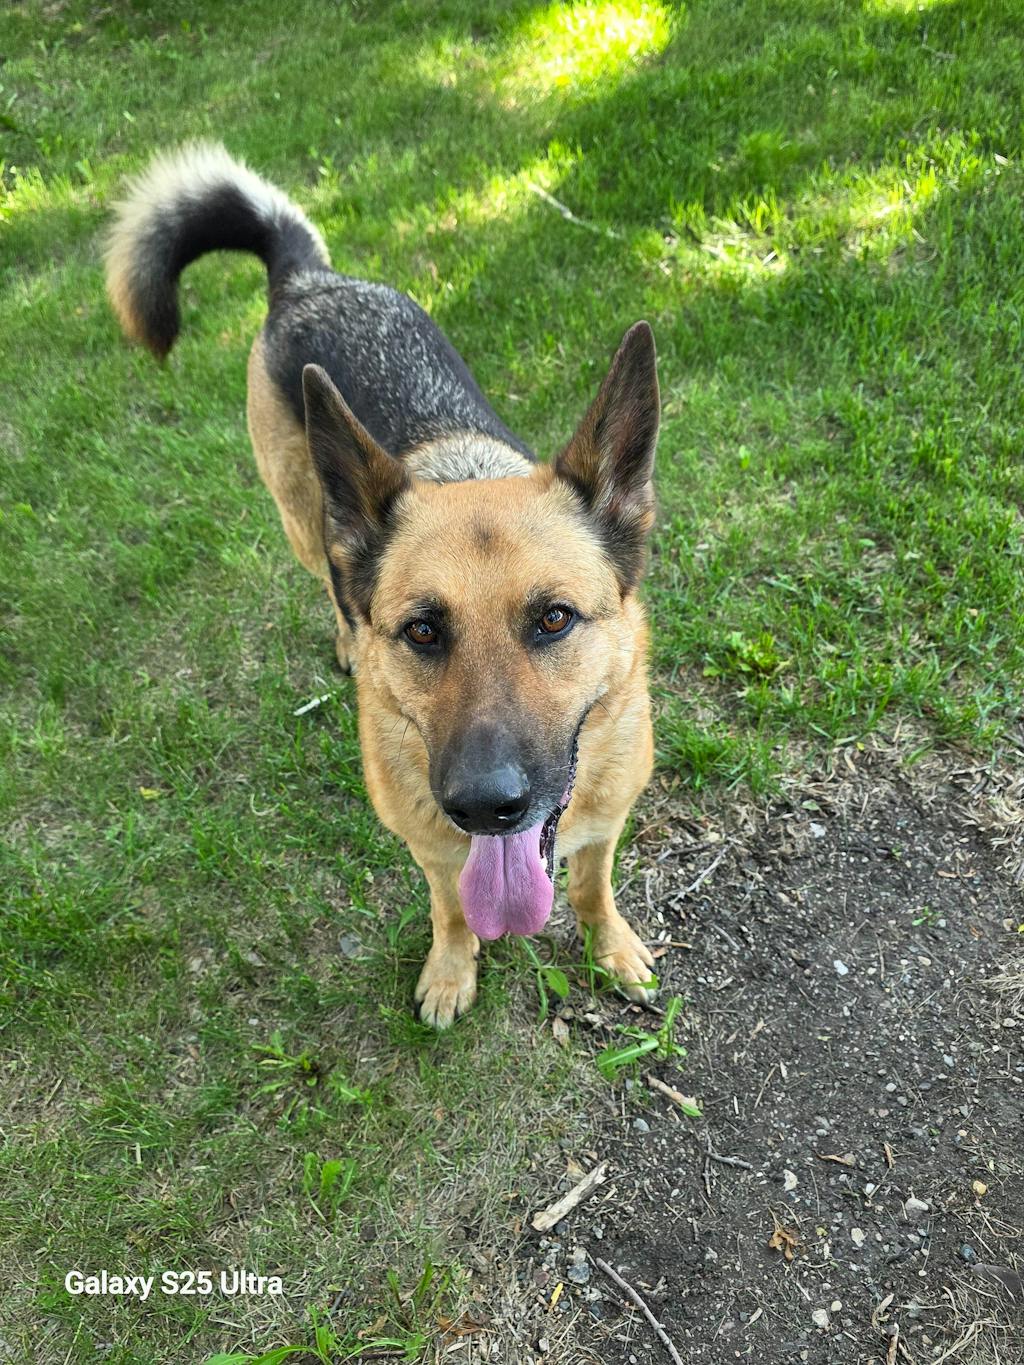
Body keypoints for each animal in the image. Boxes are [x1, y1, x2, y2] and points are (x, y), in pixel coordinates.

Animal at [105, 144, 660, 1027]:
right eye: (422, 631)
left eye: (554, 619)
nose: (485, 805)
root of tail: (308, 277)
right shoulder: (430, 848)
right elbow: (452, 908)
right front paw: (451, 970)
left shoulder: (606, 823)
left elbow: (591, 888)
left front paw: (611, 948)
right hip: (305, 521)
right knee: (333, 582)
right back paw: (342, 634)